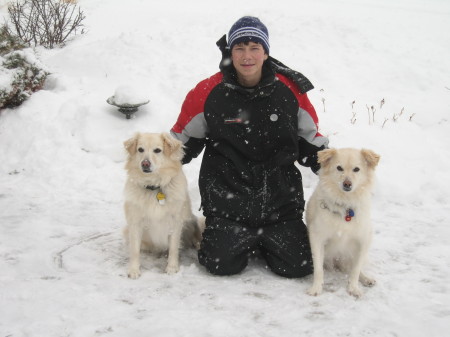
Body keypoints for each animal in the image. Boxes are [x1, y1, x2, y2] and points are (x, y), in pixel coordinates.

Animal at [122, 133, 201, 276]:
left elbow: (174, 248)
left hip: (191, 221)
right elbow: (134, 250)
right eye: (140, 149)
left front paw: (172, 268)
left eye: (157, 150)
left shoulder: (175, 222)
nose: (145, 163)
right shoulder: (135, 223)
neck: (154, 186)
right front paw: (134, 270)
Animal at [306, 148, 380, 296]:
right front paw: (316, 288)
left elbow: (356, 270)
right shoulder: (317, 237)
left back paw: (367, 279)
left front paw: (353, 288)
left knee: (354, 267)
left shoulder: (363, 240)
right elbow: (318, 269)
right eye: (339, 168)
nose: (347, 184)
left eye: (356, 169)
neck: (345, 206)